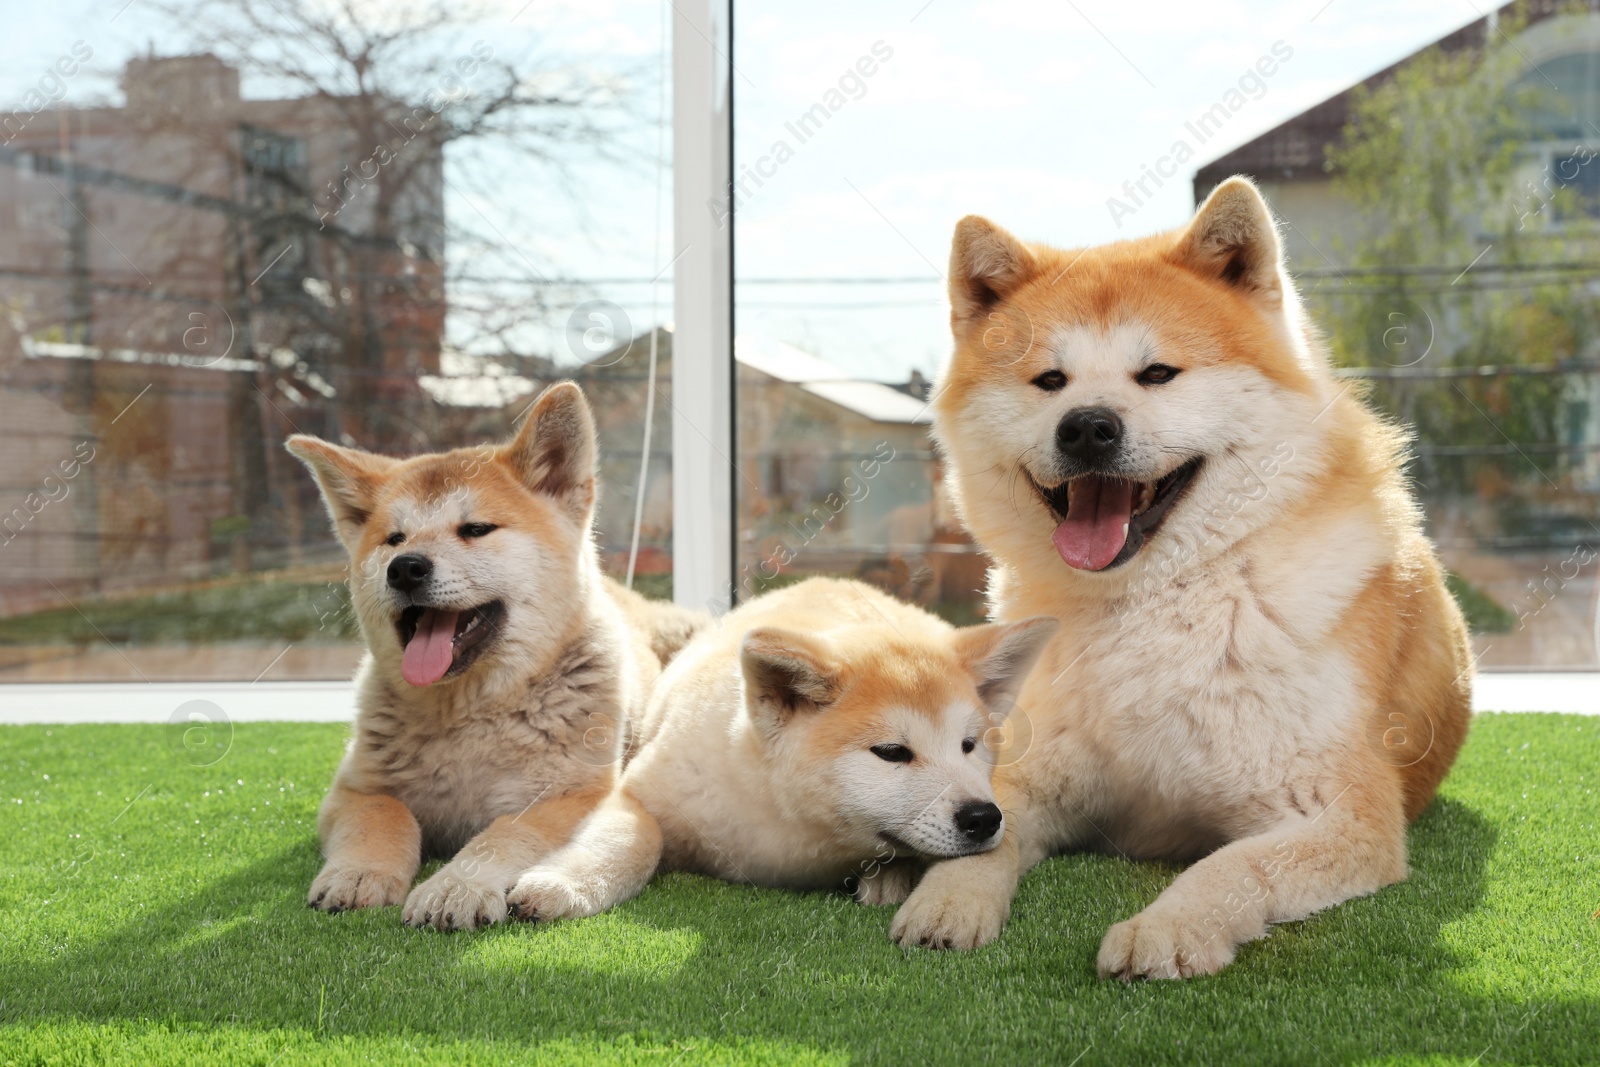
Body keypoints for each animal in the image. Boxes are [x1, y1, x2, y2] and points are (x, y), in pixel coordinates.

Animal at [286, 385, 707, 934]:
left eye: (476, 529)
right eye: (394, 539)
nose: (405, 568)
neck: (470, 717)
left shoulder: (573, 796)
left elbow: (504, 833)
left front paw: (456, 886)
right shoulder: (357, 789)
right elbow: (383, 817)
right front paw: (360, 872)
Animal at [492, 579, 1056, 921]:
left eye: (968, 746)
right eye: (893, 752)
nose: (983, 817)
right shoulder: (641, 794)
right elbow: (633, 841)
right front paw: (562, 886)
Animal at [896, 179, 1465, 979]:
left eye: (1158, 373)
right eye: (1050, 381)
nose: (1087, 426)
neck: (1155, 603)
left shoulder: (1339, 810)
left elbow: (1229, 866)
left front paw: (1168, 925)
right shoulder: (1033, 778)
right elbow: (985, 835)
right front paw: (949, 899)